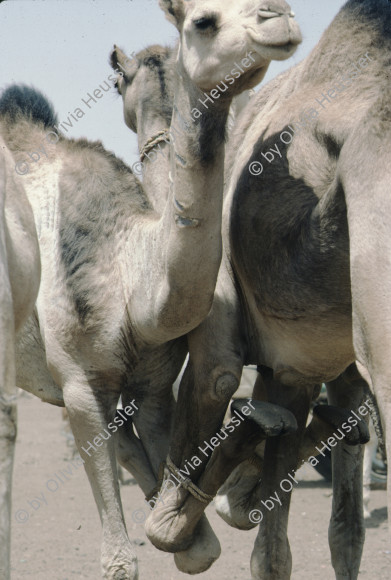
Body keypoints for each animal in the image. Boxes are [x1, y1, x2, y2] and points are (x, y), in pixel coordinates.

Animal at [0, 3, 304, 576]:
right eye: (203, 21)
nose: (280, 19)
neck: (127, 273)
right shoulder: (79, 386)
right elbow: (121, 560)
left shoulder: (154, 385)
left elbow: (197, 548)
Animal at [146, 2, 391, 576]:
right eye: (204, 21)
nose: (276, 16)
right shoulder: (311, 363)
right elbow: (325, 532)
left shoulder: (289, 360)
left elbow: (268, 550)